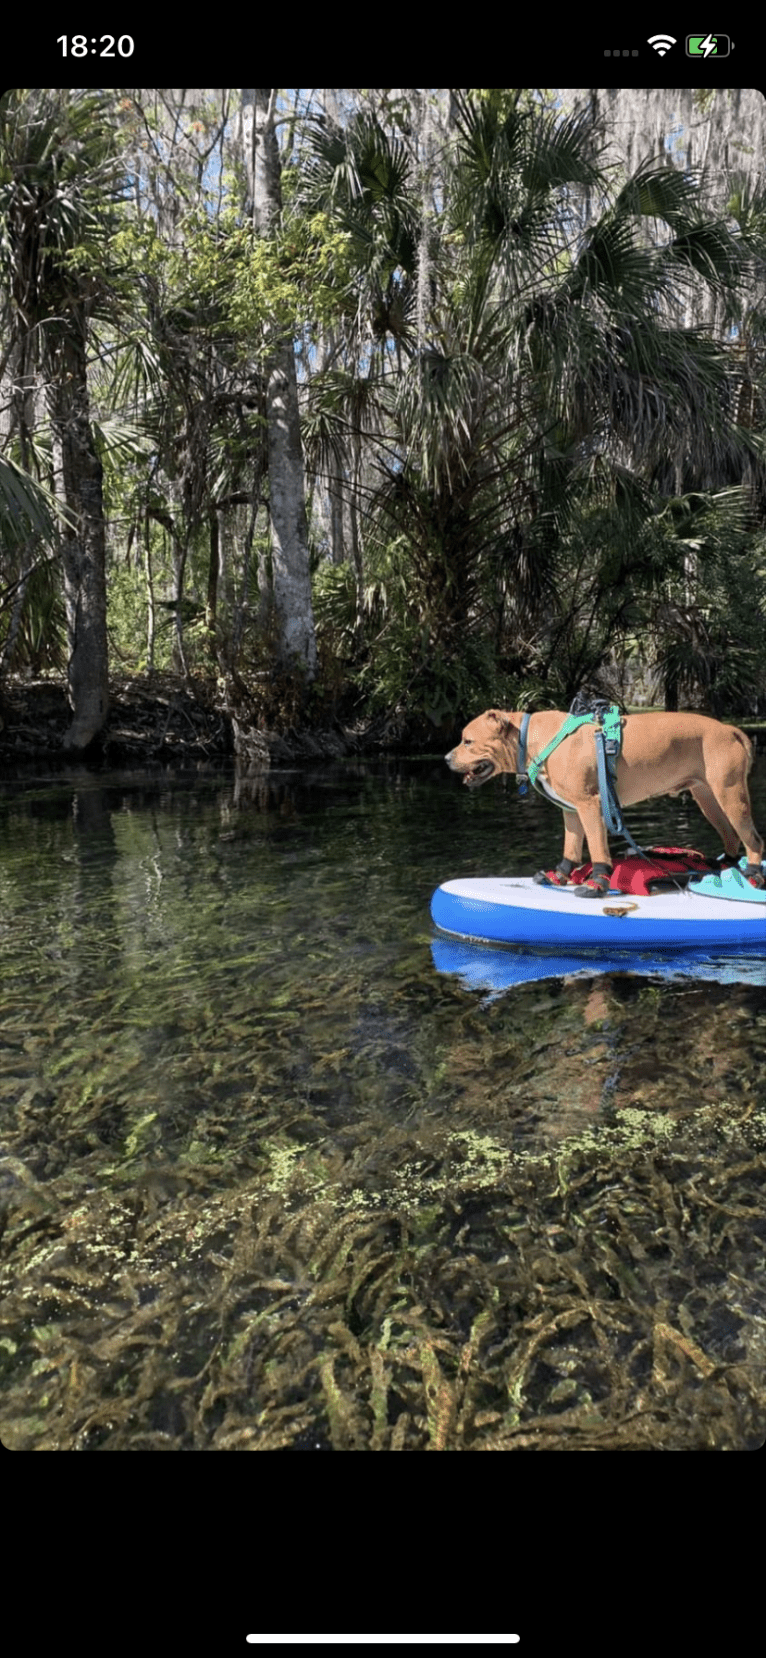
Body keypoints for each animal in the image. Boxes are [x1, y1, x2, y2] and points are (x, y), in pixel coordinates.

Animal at [444, 709, 762, 895]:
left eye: (467, 741)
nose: (446, 758)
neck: (534, 739)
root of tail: (730, 729)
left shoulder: (590, 805)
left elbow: (597, 848)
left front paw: (597, 882)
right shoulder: (571, 811)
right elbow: (571, 846)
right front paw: (560, 875)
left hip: (730, 796)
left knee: (753, 839)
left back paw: (753, 874)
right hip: (708, 798)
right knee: (731, 836)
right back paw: (724, 867)